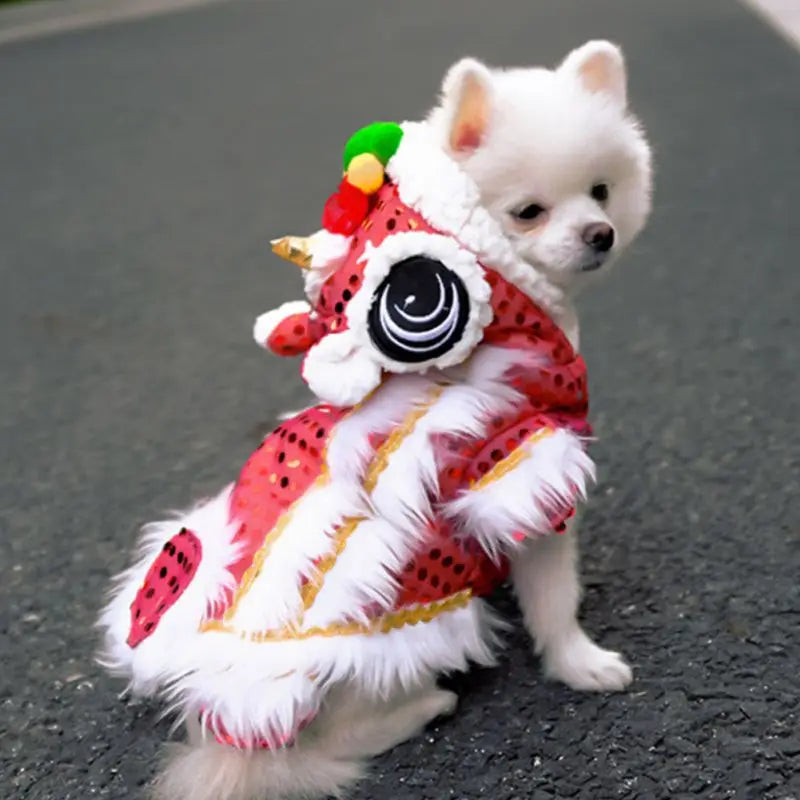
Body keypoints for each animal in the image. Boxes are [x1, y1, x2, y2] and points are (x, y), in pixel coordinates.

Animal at [98, 40, 648, 800]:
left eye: (601, 191)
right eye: (528, 212)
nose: (600, 234)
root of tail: (227, 735)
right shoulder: (523, 467)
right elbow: (553, 596)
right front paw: (580, 662)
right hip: (366, 663)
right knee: (329, 743)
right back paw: (427, 705)